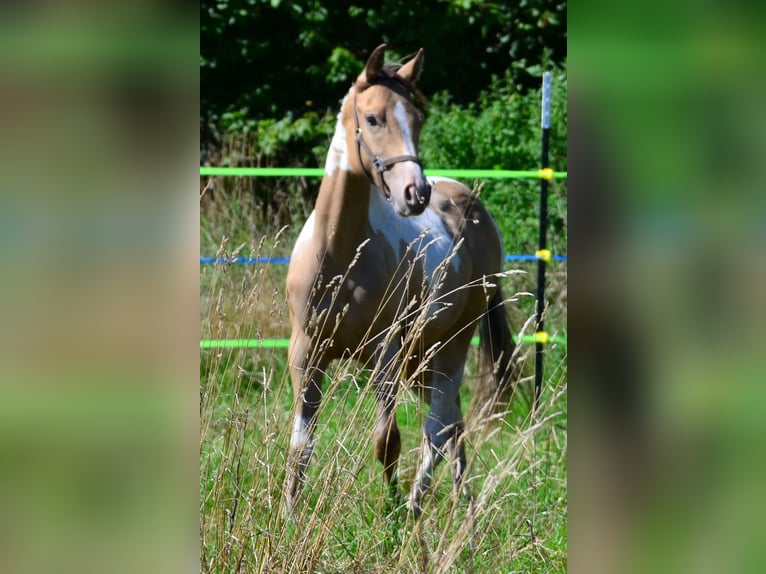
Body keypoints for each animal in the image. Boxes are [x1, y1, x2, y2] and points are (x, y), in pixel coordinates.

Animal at [285, 44, 518, 516]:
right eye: (373, 118)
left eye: (418, 118)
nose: (416, 193)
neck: (338, 256)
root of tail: (474, 207)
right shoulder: (305, 353)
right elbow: (301, 446)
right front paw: (287, 514)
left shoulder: (385, 354)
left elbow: (387, 441)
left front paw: (387, 511)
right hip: (421, 359)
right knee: (453, 424)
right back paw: (463, 504)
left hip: (449, 346)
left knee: (438, 426)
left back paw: (415, 505)